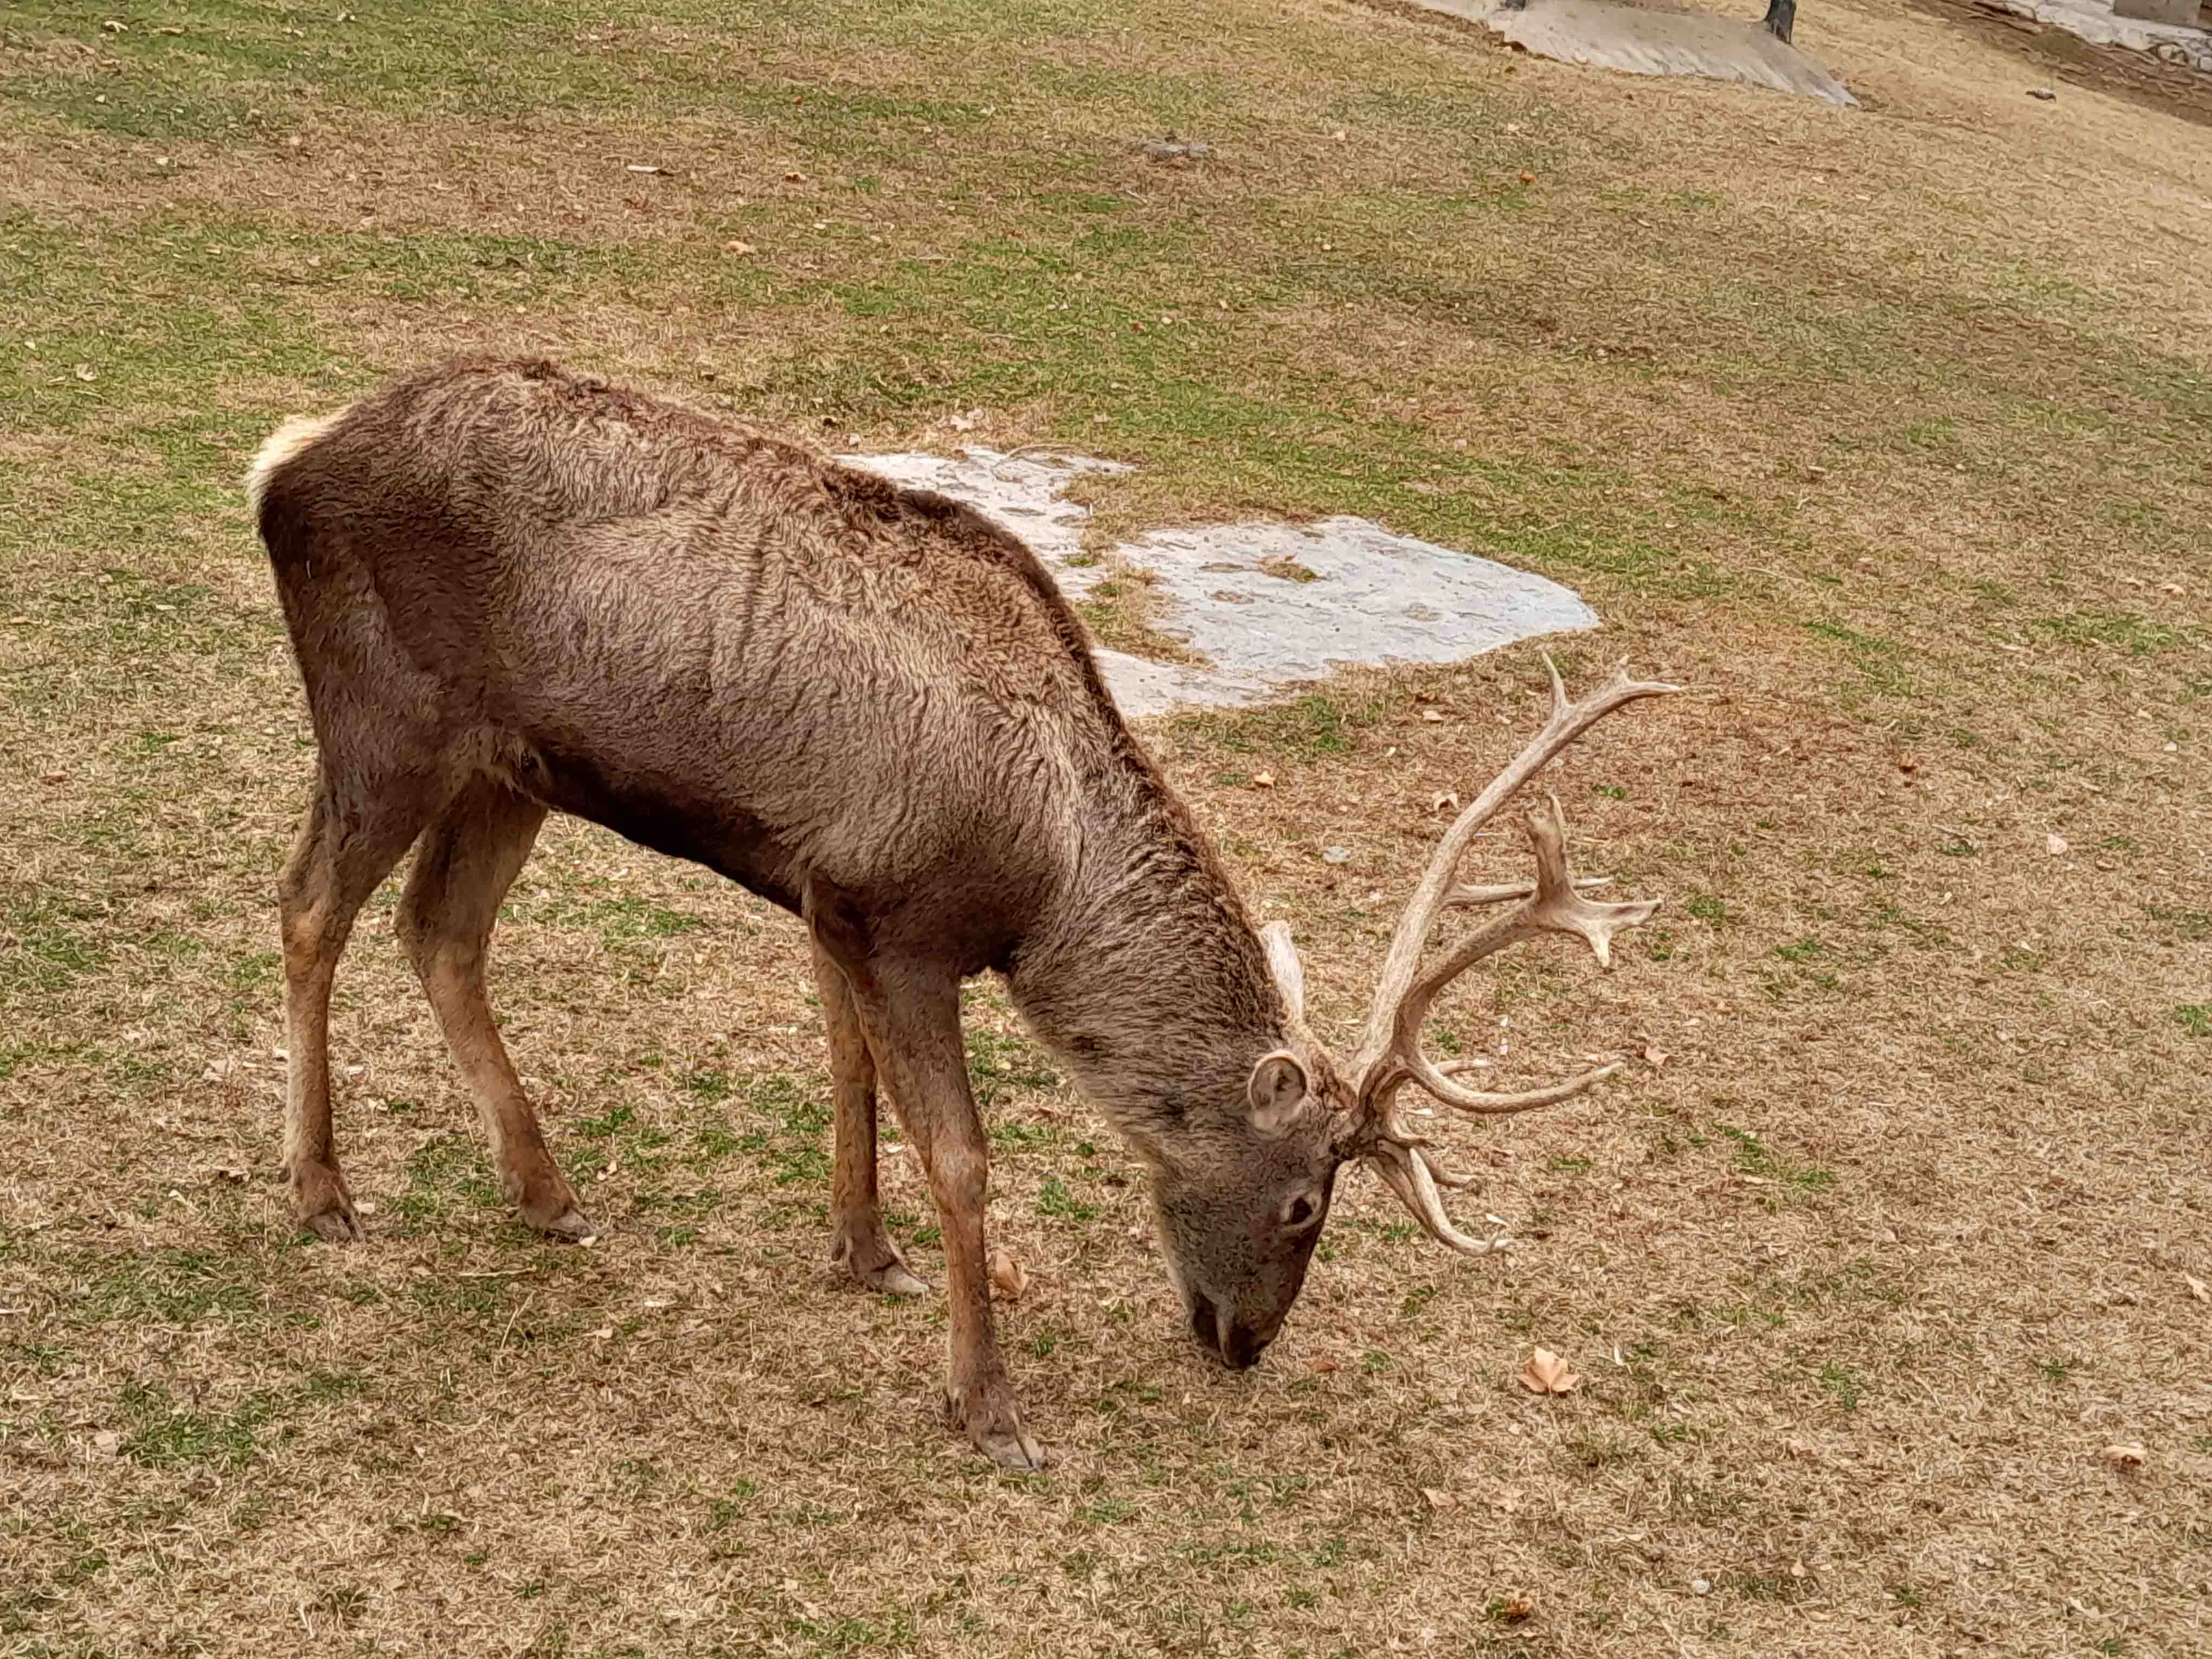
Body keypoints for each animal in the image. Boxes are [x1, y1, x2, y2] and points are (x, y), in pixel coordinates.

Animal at [246, 353, 1672, 1469]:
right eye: (1303, 1207)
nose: (1246, 1343)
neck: (1043, 873)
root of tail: (285, 457)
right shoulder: (901, 915)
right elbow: (963, 1154)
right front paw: (988, 1405)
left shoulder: (826, 892)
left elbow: (846, 1068)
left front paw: (863, 1252)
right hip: (387, 715)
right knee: (308, 905)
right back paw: (321, 1190)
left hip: (512, 766)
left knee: (441, 932)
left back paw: (544, 1193)